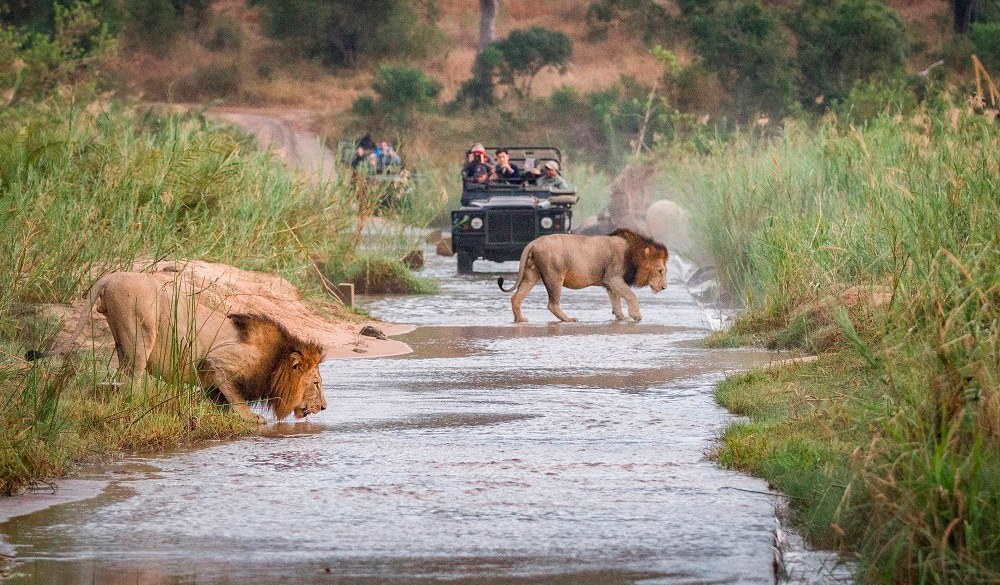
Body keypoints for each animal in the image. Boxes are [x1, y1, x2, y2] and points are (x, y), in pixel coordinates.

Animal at [498, 229, 668, 324]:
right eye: (660, 271)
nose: (664, 287)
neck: (633, 253)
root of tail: (533, 242)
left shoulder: (610, 282)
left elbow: (616, 300)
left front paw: (621, 317)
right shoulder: (613, 277)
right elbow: (630, 295)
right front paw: (636, 315)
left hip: (531, 274)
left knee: (516, 298)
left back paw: (520, 319)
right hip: (554, 275)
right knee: (552, 304)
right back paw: (569, 320)